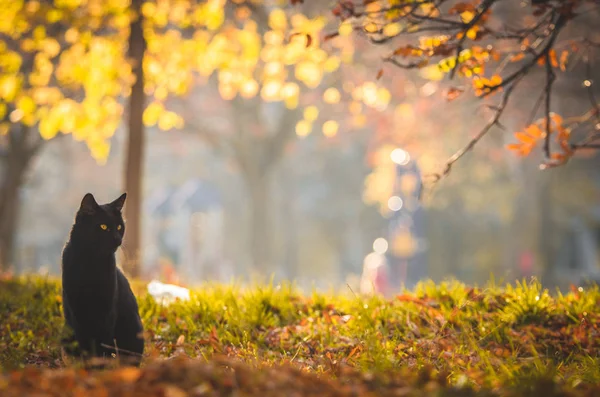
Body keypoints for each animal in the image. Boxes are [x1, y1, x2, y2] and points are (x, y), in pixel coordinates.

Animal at [61, 192, 144, 366]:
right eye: (103, 227)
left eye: (119, 227)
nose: (118, 239)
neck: (92, 262)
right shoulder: (76, 309)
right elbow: (85, 341)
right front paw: (90, 365)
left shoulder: (108, 310)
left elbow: (102, 341)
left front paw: (99, 365)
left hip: (134, 326)